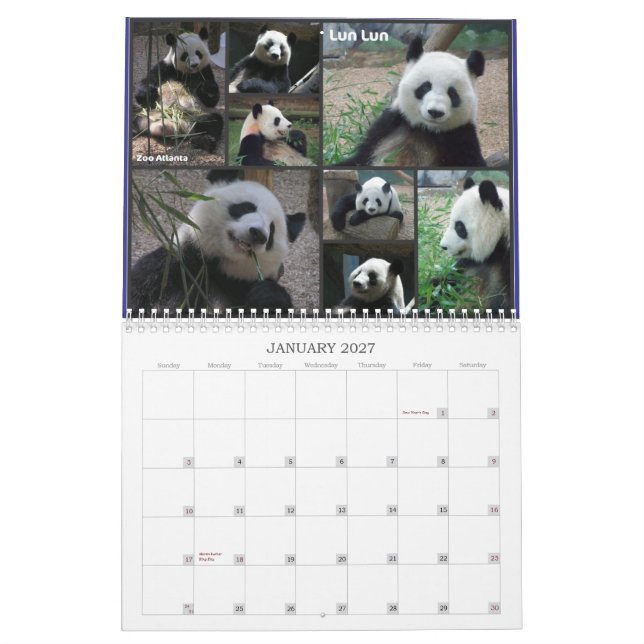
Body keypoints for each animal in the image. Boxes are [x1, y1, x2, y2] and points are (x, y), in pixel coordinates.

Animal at [129, 178, 306, 314]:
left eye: (272, 229)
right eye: (246, 207)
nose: (258, 234)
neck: (219, 267)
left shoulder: (242, 285)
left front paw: (267, 296)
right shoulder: (176, 263)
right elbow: (139, 292)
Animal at [337, 36, 486, 167]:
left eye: (452, 93)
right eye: (425, 87)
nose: (435, 112)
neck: (426, 130)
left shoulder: (460, 137)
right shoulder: (388, 126)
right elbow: (360, 158)